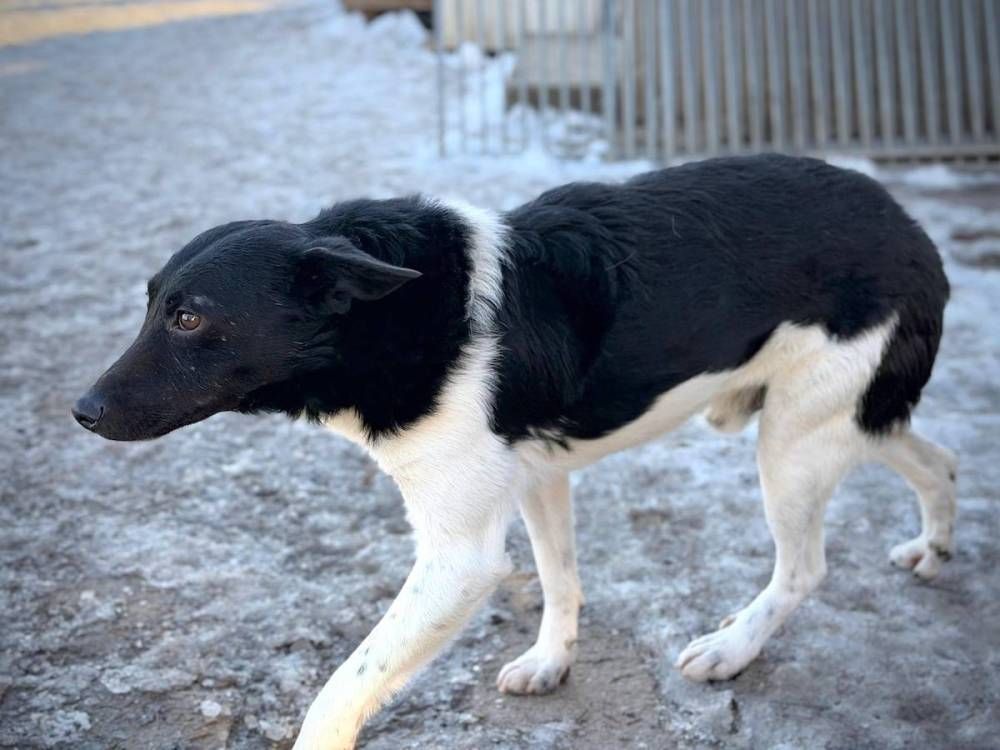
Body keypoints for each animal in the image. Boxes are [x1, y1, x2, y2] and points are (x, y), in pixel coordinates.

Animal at [74, 154, 956, 749]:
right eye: (151, 305)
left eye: (190, 318)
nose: (81, 412)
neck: (396, 317)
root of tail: (909, 225)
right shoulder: (538, 476)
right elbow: (561, 581)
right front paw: (550, 663)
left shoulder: (458, 558)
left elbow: (342, 687)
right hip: (839, 417)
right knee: (940, 462)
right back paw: (934, 547)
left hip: (795, 438)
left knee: (804, 567)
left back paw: (732, 647)